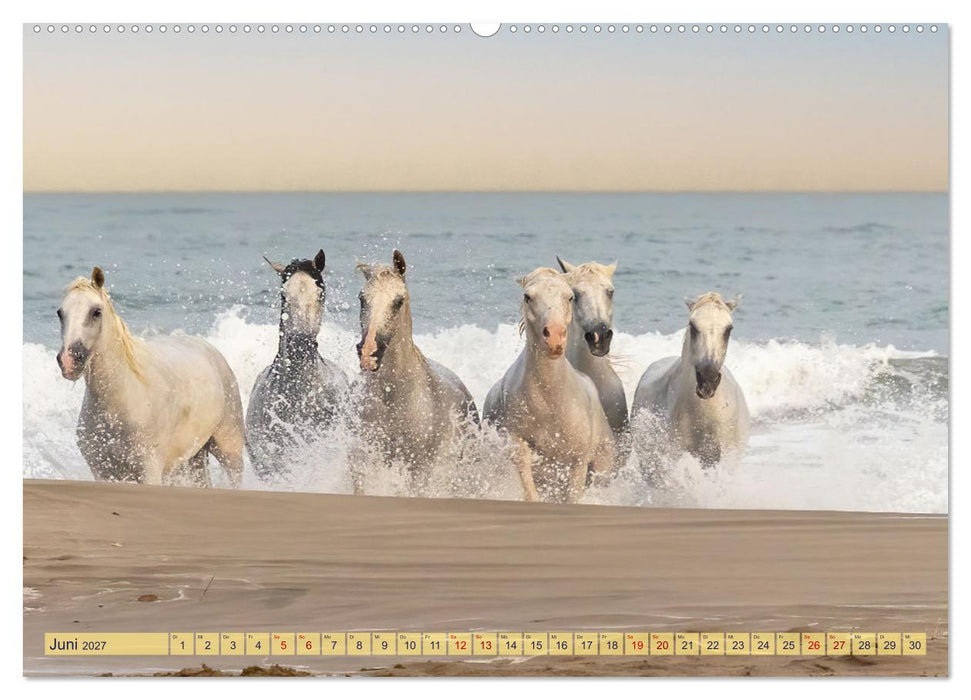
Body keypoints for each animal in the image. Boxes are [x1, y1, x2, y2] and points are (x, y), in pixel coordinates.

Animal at [56, 267, 245, 487]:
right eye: (60, 313)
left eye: (96, 312)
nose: (69, 360)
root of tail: (212, 351)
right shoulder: (102, 471)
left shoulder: (149, 470)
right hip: (194, 456)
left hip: (229, 450)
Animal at [354, 250, 479, 494]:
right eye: (362, 298)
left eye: (399, 301)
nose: (368, 354)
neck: (395, 395)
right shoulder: (364, 457)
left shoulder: (419, 467)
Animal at [483, 268, 615, 503]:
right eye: (527, 297)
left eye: (570, 297)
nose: (554, 337)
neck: (550, 400)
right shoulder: (518, 445)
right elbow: (529, 487)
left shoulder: (578, 461)